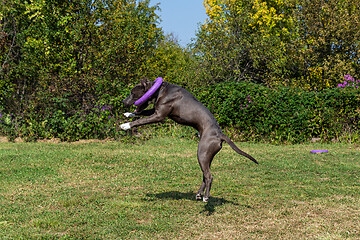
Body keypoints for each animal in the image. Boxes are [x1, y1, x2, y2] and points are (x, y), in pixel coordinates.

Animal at [122, 79, 258, 202]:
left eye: (132, 93)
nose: (124, 101)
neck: (160, 90)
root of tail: (220, 134)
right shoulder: (154, 111)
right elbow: (142, 112)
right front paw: (129, 114)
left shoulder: (159, 115)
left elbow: (140, 120)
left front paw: (126, 125)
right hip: (207, 157)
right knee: (205, 175)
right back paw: (199, 194)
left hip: (202, 153)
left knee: (209, 176)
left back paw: (206, 197)